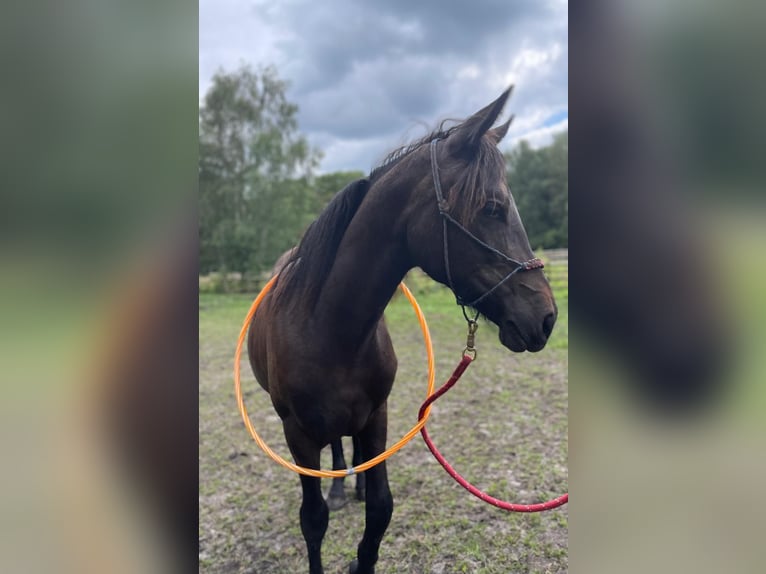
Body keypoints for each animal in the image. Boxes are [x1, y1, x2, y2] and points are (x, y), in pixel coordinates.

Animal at [249, 89, 556, 574]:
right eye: (492, 207)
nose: (546, 317)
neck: (326, 328)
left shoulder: (377, 416)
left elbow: (380, 510)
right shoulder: (296, 434)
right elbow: (313, 520)